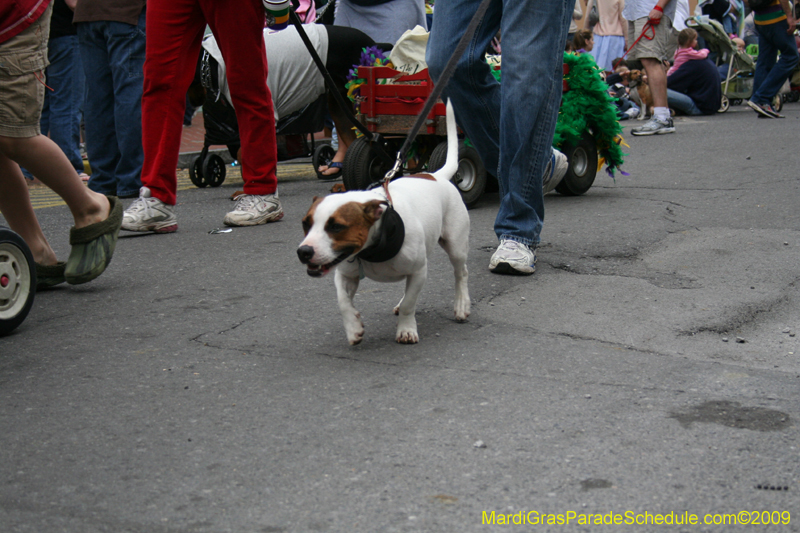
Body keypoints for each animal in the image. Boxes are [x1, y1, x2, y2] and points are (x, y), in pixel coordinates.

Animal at [296, 100, 468, 344]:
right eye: (305, 223)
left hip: (455, 245)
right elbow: (342, 302)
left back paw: (461, 305)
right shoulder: (344, 274)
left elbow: (409, 305)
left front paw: (406, 329)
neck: (372, 247)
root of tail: (436, 175)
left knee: (461, 273)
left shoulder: (418, 270)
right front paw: (353, 327)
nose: (304, 251)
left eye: (337, 226)